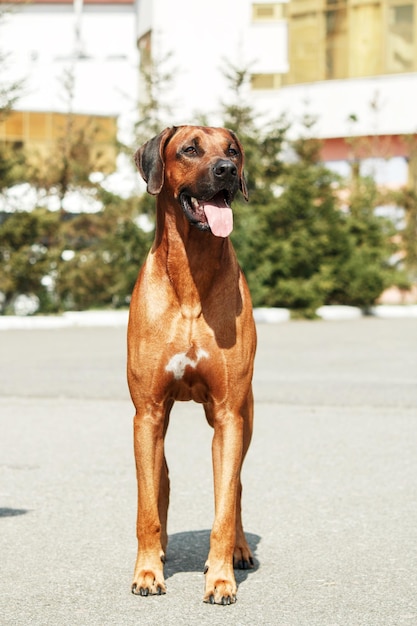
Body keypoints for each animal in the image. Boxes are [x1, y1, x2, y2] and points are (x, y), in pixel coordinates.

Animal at [128, 124, 255, 604]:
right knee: (159, 481)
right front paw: (148, 573)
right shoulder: (146, 412)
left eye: (232, 150)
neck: (191, 276)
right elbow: (147, 507)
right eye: (190, 150)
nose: (227, 171)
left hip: (245, 418)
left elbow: (224, 505)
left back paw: (239, 550)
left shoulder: (228, 413)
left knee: (235, 487)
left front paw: (220, 578)